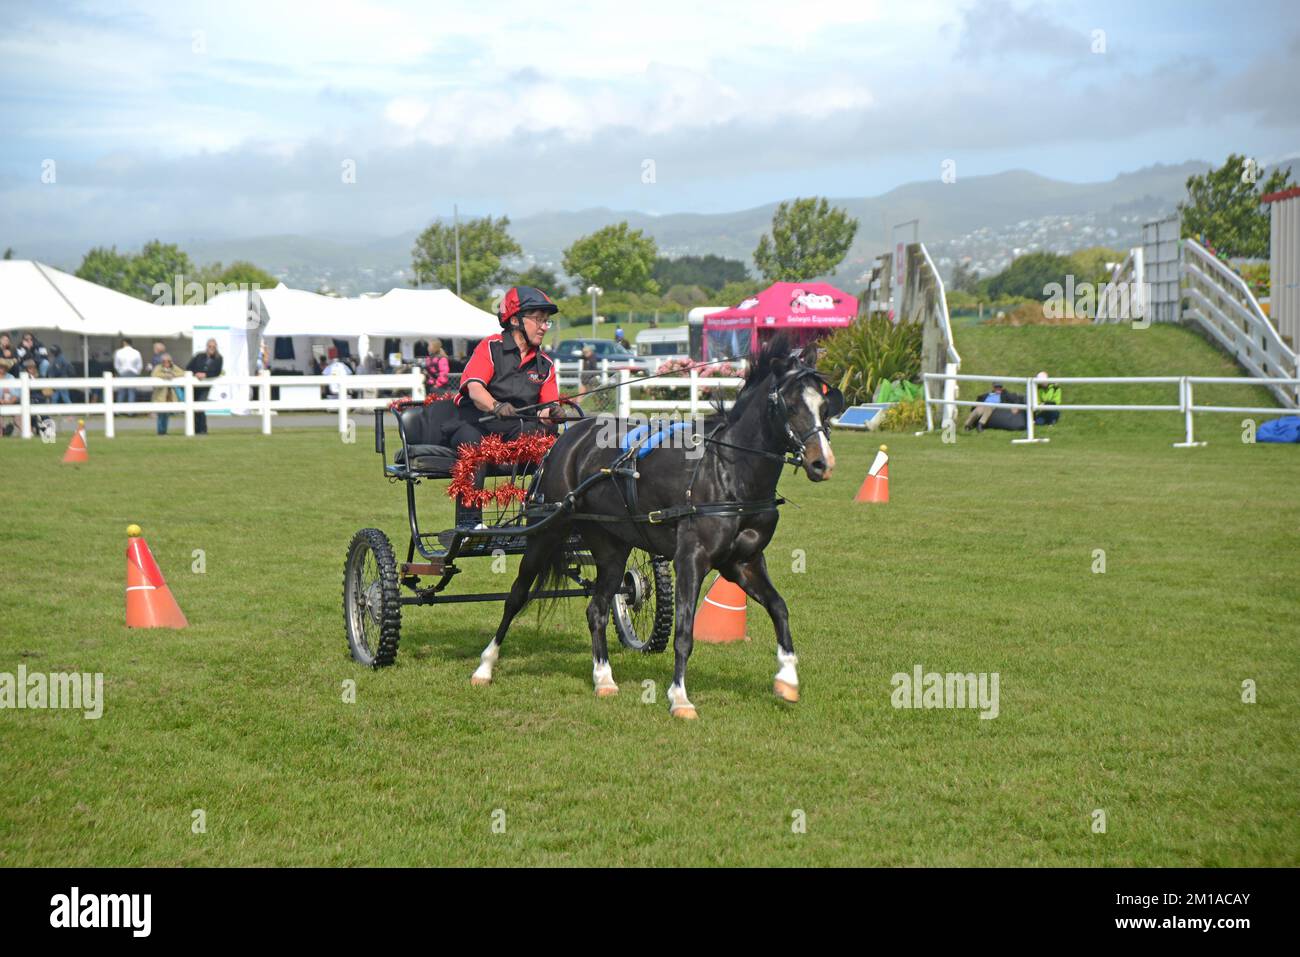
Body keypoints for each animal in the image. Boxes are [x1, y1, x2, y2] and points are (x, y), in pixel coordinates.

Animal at [467, 335, 842, 717]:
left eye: (824, 404)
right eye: (790, 405)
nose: (822, 463)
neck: (727, 470)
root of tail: (565, 441)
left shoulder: (743, 562)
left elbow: (779, 608)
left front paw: (787, 679)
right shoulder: (691, 559)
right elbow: (685, 631)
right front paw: (679, 697)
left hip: (611, 547)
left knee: (597, 608)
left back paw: (604, 678)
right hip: (545, 533)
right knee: (516, 596)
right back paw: (485, 666)